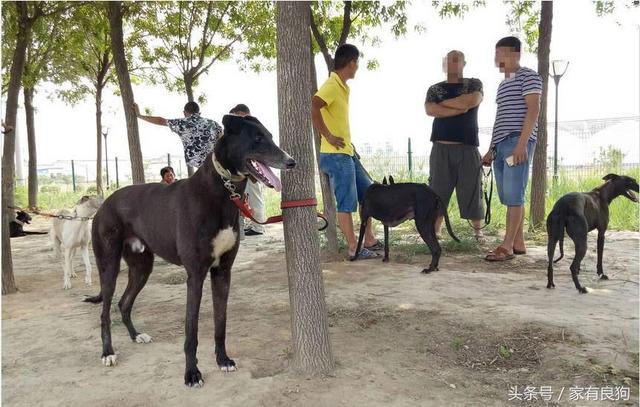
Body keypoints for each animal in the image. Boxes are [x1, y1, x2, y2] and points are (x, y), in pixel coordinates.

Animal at [84, 114, 296, 386]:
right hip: (108, 264)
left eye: (270, 135)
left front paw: (223, 360)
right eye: (258, 138)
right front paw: (192, 373)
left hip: (141, 267)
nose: (291, 162)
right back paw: (108, 352)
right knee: (105, 310)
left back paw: (136, 335)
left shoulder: (222, 272)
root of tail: (104, 204)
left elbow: (220, 323)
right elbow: (191, 330)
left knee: (124, 302)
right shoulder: (195, 275)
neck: (222, 191)